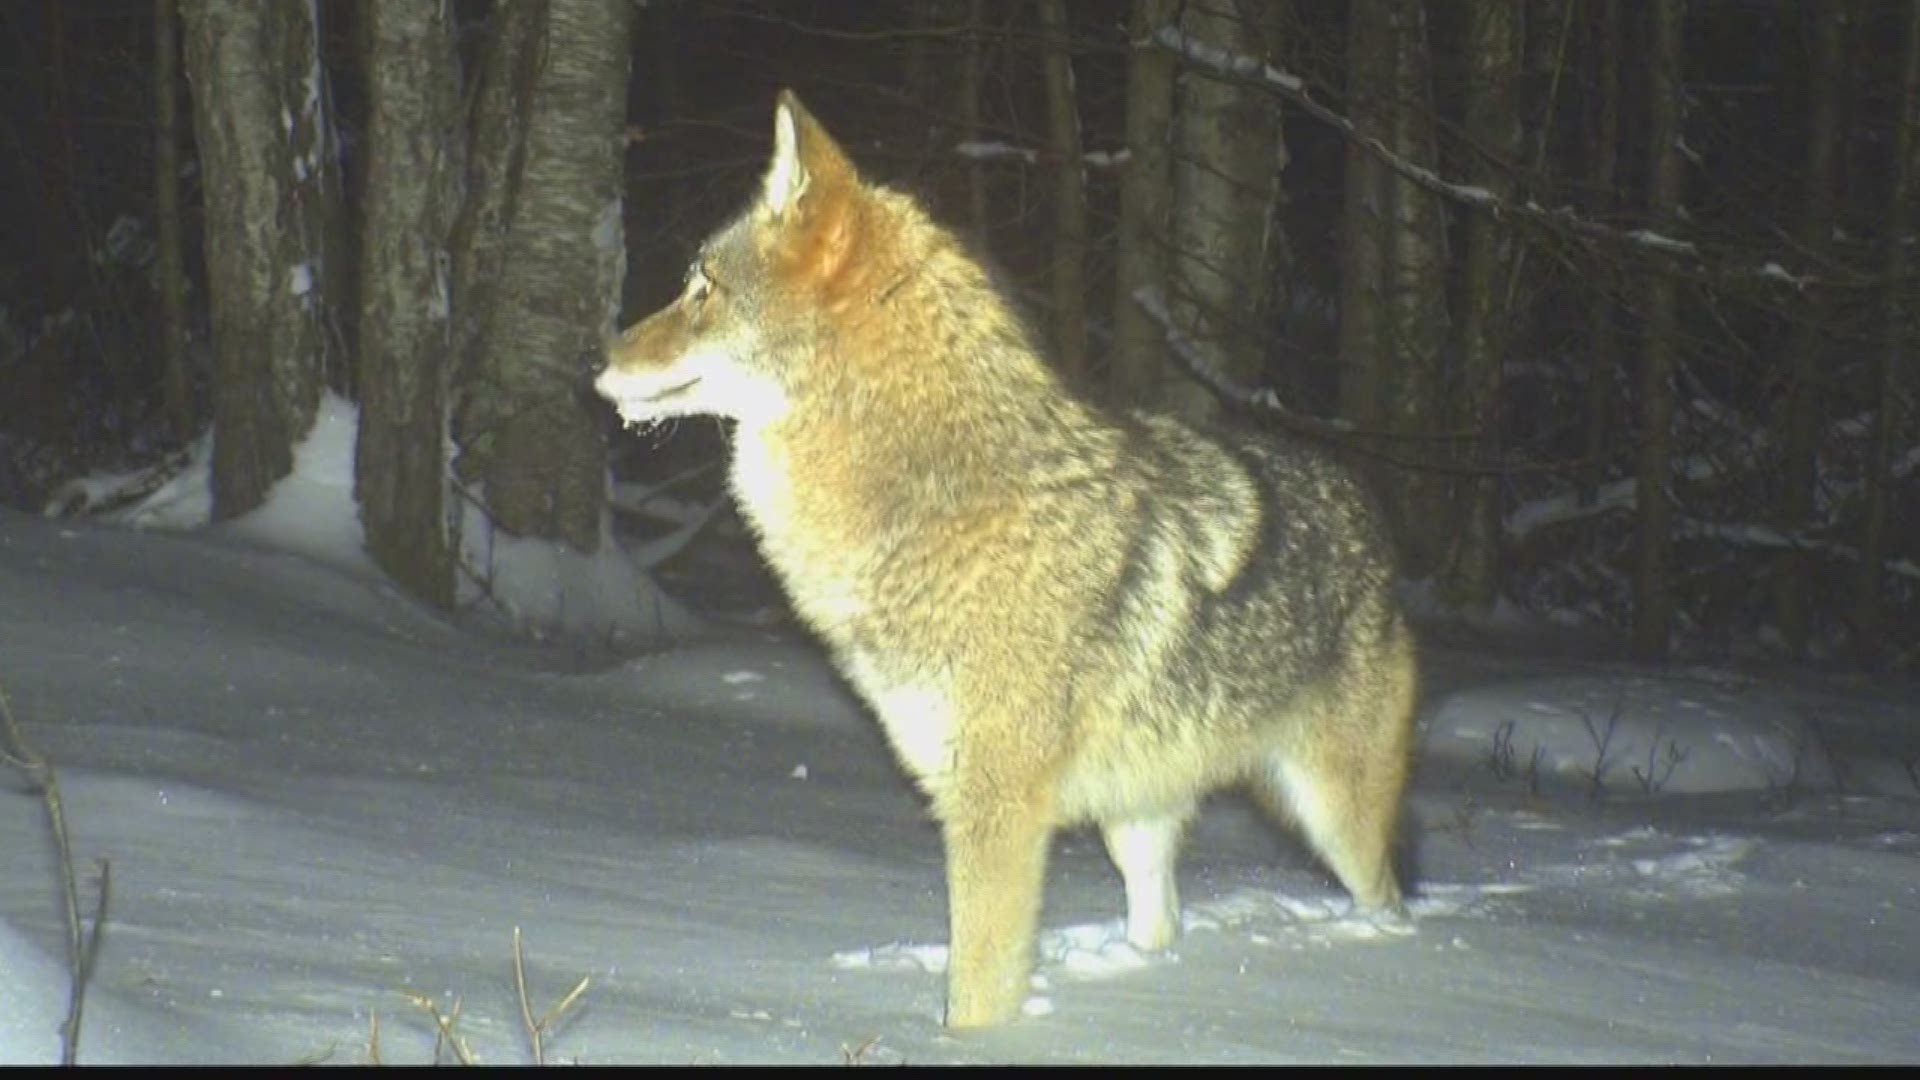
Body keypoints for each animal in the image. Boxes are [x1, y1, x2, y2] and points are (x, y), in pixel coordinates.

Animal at [599, 90, 1428, 1022]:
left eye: (701, 289)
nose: (600, 358)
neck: (937, 502)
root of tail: (1367, 510)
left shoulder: (997, 810)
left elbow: (978, 991)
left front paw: (967, 1041)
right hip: (1134, 821)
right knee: (1161, 924)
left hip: (1334, 820)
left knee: (1386, 901)